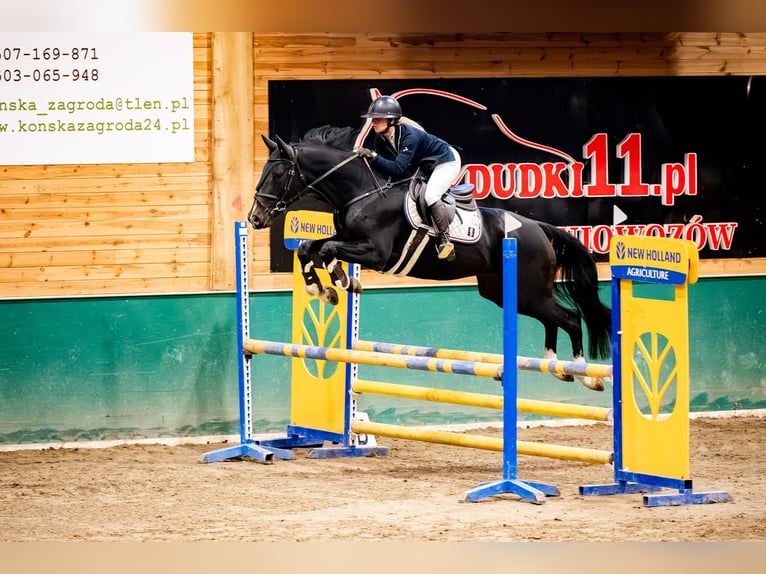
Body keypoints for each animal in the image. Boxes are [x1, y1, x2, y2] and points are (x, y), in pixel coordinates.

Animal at [249, 127, 616, 392]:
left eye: (278, 175)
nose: (254, 218)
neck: (361, 193)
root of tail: (538, 228)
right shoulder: (348, 240)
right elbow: (307, 248)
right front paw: (320, 288)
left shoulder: (375, 253)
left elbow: (325, 251)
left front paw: (340, 280)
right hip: (505, 292)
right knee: (553, 319)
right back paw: (556, 367)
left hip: (528, 290)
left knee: (569, 318)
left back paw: (585, 374)